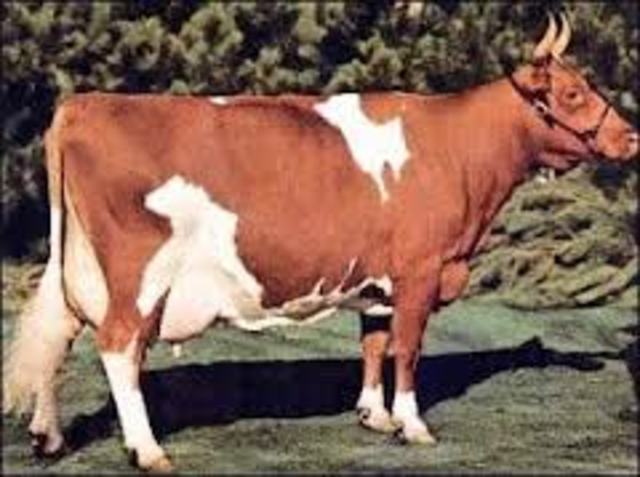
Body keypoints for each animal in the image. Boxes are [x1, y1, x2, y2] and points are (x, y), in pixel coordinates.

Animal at [4, 13, 637, 472]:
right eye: (573, 93)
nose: (630, 137)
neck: (459, 151)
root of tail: (83, 103)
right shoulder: (420, 269)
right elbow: (407, 349)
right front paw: (413, 425)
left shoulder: (380, 278)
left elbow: (374, 344)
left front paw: (374, 416)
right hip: (139, 274)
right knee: (115, 346)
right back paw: (149, 451)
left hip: (77, 265)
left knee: (58, 336)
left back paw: (48, 436)